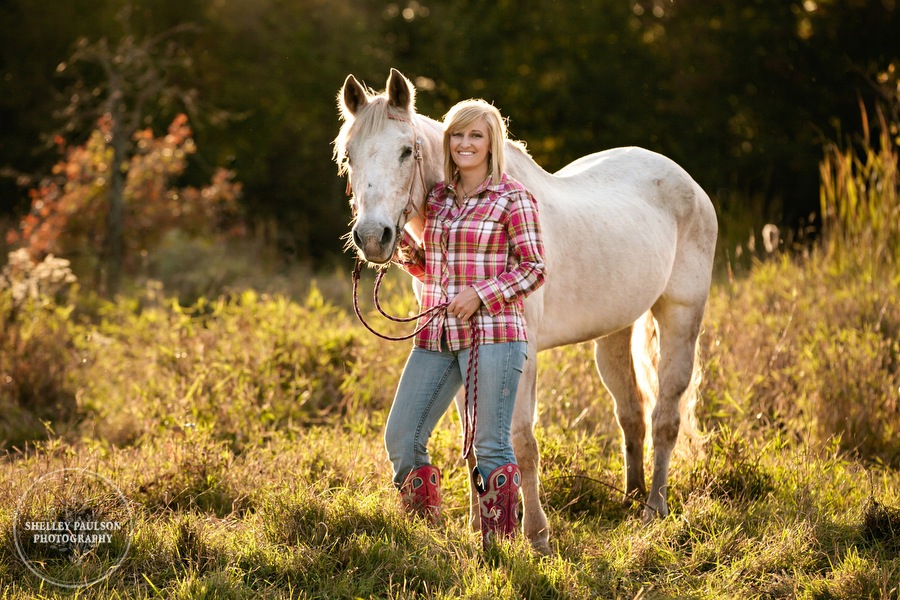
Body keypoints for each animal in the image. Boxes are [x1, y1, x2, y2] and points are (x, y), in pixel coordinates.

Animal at [336, 69, 716, 552]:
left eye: (406, 151)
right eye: (349, 155)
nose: (372, 237)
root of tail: (687, 182)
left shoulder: (524, 357)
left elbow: (521, 443)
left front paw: (535, 536)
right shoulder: (457, 352)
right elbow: (474, 445)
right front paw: (478, 527)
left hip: (681, 318)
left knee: (665, 415)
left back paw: (654, 509)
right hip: (615, 331)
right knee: (630, 412)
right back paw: (630, 500)